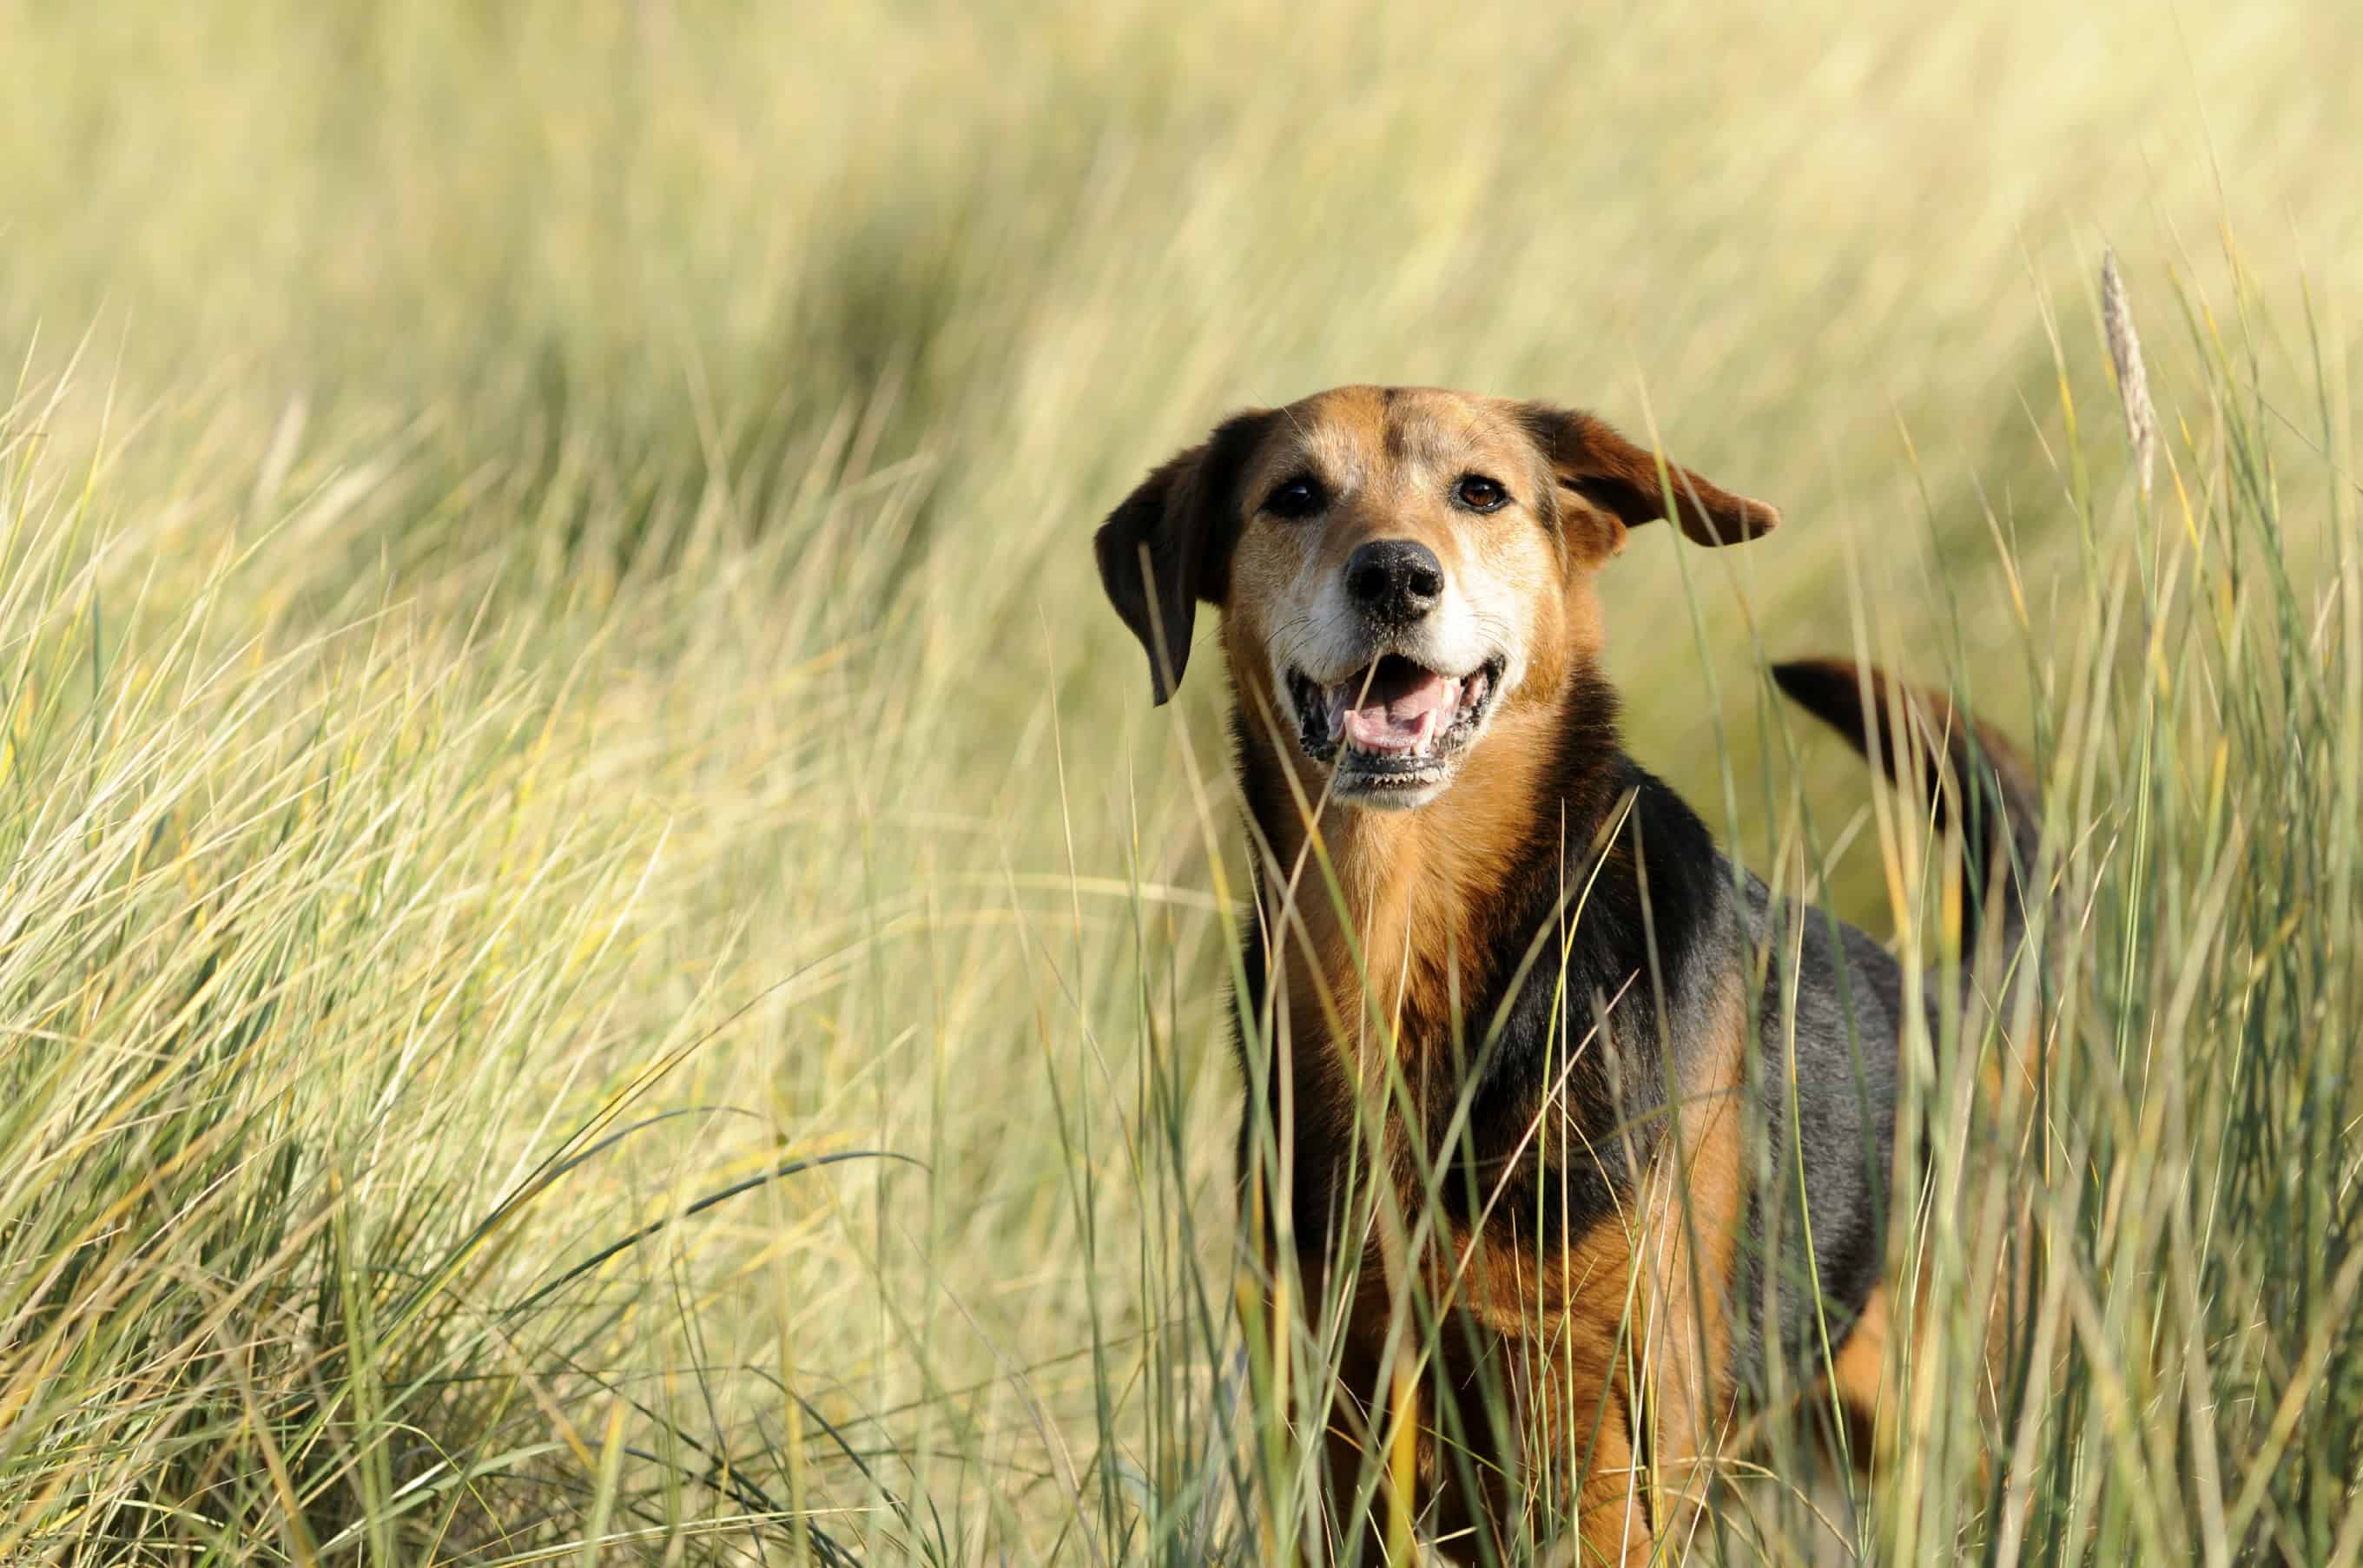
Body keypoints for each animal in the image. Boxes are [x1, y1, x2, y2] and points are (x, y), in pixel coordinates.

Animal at [1096, 385, 2041, 1558]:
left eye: (1481, 492)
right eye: (1296, 495)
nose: (1396, 576)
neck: (1410, 955)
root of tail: (1962, 1004)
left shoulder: (1608, 1430)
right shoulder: (1330, 1422)